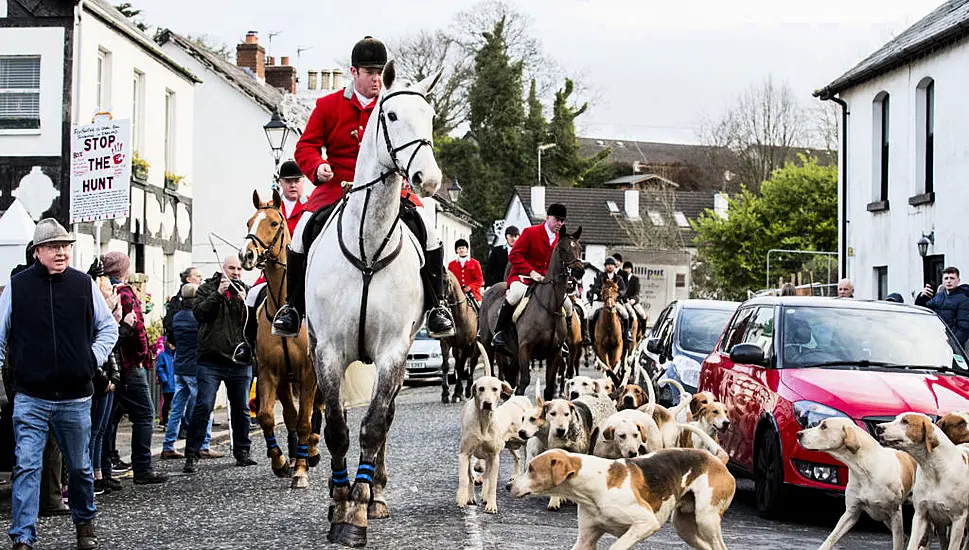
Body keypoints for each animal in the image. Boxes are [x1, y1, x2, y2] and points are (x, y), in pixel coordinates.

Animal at [239, 188, 324, 490]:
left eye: (274, 223)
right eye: (249, 222)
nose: (246, 255)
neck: (284, 308)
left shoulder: (309, 373)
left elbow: (305, 421)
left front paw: (300, 471)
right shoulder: (268, 372)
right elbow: (267, 416)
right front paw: (281, 462)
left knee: (317, 410)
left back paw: (311, 451)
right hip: (286, 380)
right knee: (289, 414)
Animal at [302, 62, 446, 548]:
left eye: (431, 117)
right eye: (393, 115)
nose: (428, 181)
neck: (367, 244)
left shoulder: (392, 352)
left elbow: (375, 424)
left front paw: (360, 507)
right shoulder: (328, 351)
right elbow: (337, 427)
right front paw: (338, 502)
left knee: (388, 416)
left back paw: (377, 492)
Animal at [438, 272, 480, 406]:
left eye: (446, 282)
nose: (440, 305)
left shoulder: (467, 345)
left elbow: (462, 368)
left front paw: (456, 393)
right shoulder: (445, 343)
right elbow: (446, 366)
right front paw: (445, 393)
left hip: (475, 347)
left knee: (472, 363)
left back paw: (467, 389)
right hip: (457, 348)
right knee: (457, 363)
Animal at [476, 226, 584, 404]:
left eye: (580, 249)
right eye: (562, 249)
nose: (579, 271)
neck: (549, 306)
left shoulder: (555, 352)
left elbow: (548, 388)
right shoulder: (525, 348)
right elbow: (524, 382)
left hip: (512, 352)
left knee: (511, 377)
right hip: (488, 345)